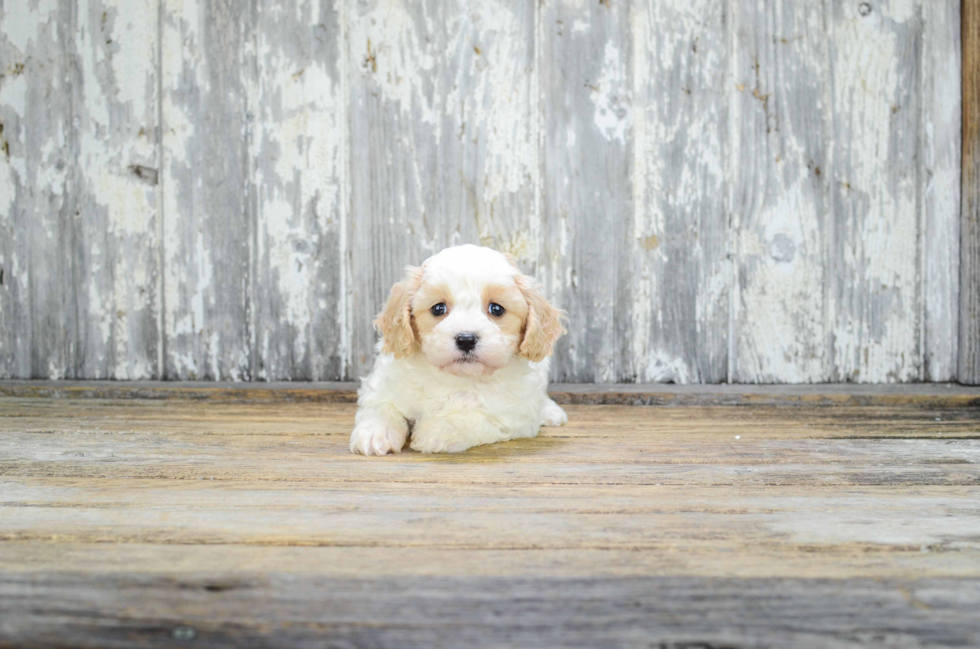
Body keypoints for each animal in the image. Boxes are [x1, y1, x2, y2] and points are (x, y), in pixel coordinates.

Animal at [350, 244, 568, 456]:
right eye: (438, 308)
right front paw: (375, 434)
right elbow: (381, 406)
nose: (466, 340)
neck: (456, 377)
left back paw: (551, 412)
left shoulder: (514, 415)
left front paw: (438, 430)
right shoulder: (381, 385)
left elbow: (476, 417)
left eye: (496, 309)